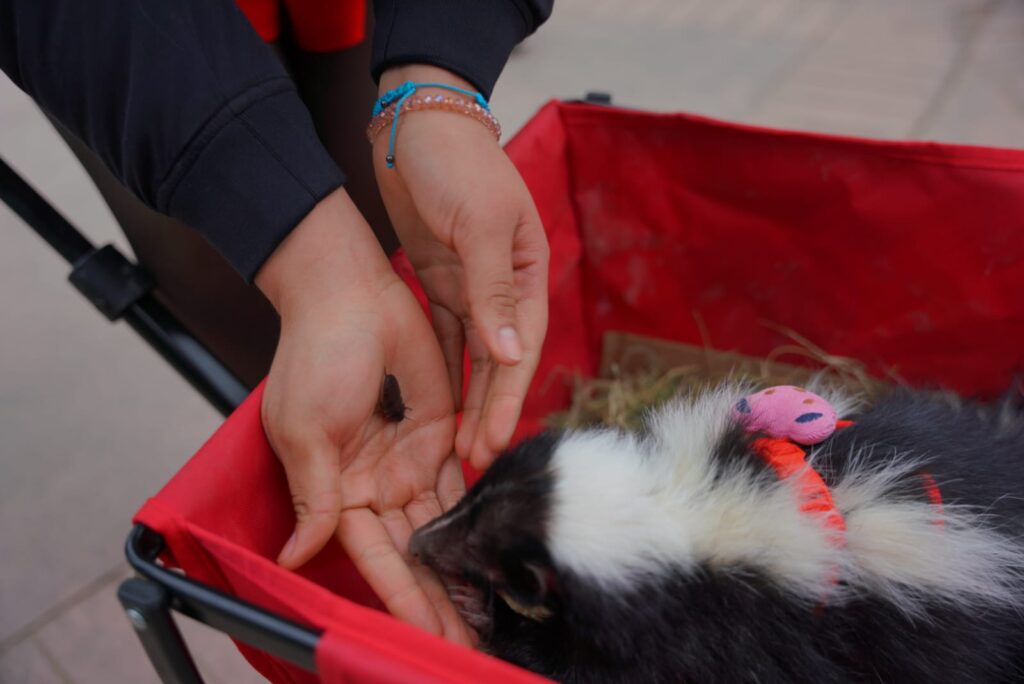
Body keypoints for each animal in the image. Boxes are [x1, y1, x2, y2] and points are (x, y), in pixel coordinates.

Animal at [407, 385, 1024, 684]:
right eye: (469, 496)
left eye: (490, 551)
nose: (419, 542)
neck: (685, 505)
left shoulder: (726, 631)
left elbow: (586, 667)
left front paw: (483, 611)